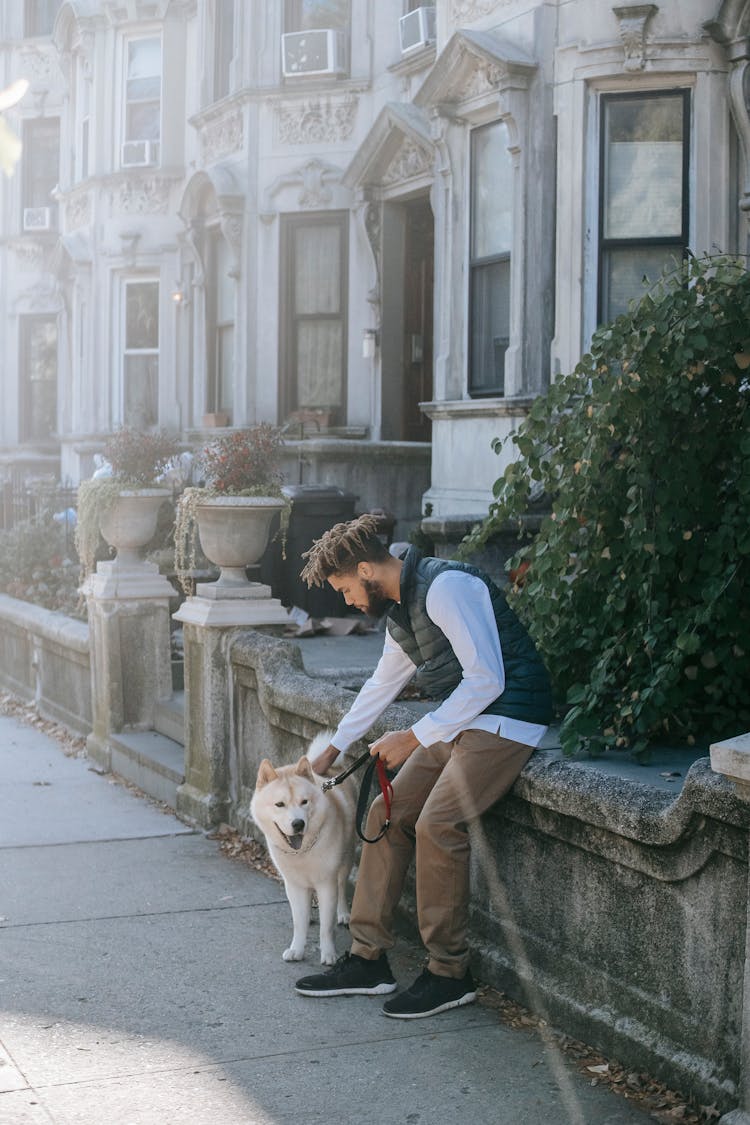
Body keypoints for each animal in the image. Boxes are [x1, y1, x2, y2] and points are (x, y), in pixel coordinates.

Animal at [249, 733, 357, 963]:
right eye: (279, 804)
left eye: (304, 802)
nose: (298, 823)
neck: (302, 852)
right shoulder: (294, 885)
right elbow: (298, 922)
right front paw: (297, 949)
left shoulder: (327, 884)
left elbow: (326, 926)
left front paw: (328, 954)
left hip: (347, 857)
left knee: (343, 885)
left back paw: (343, 913)